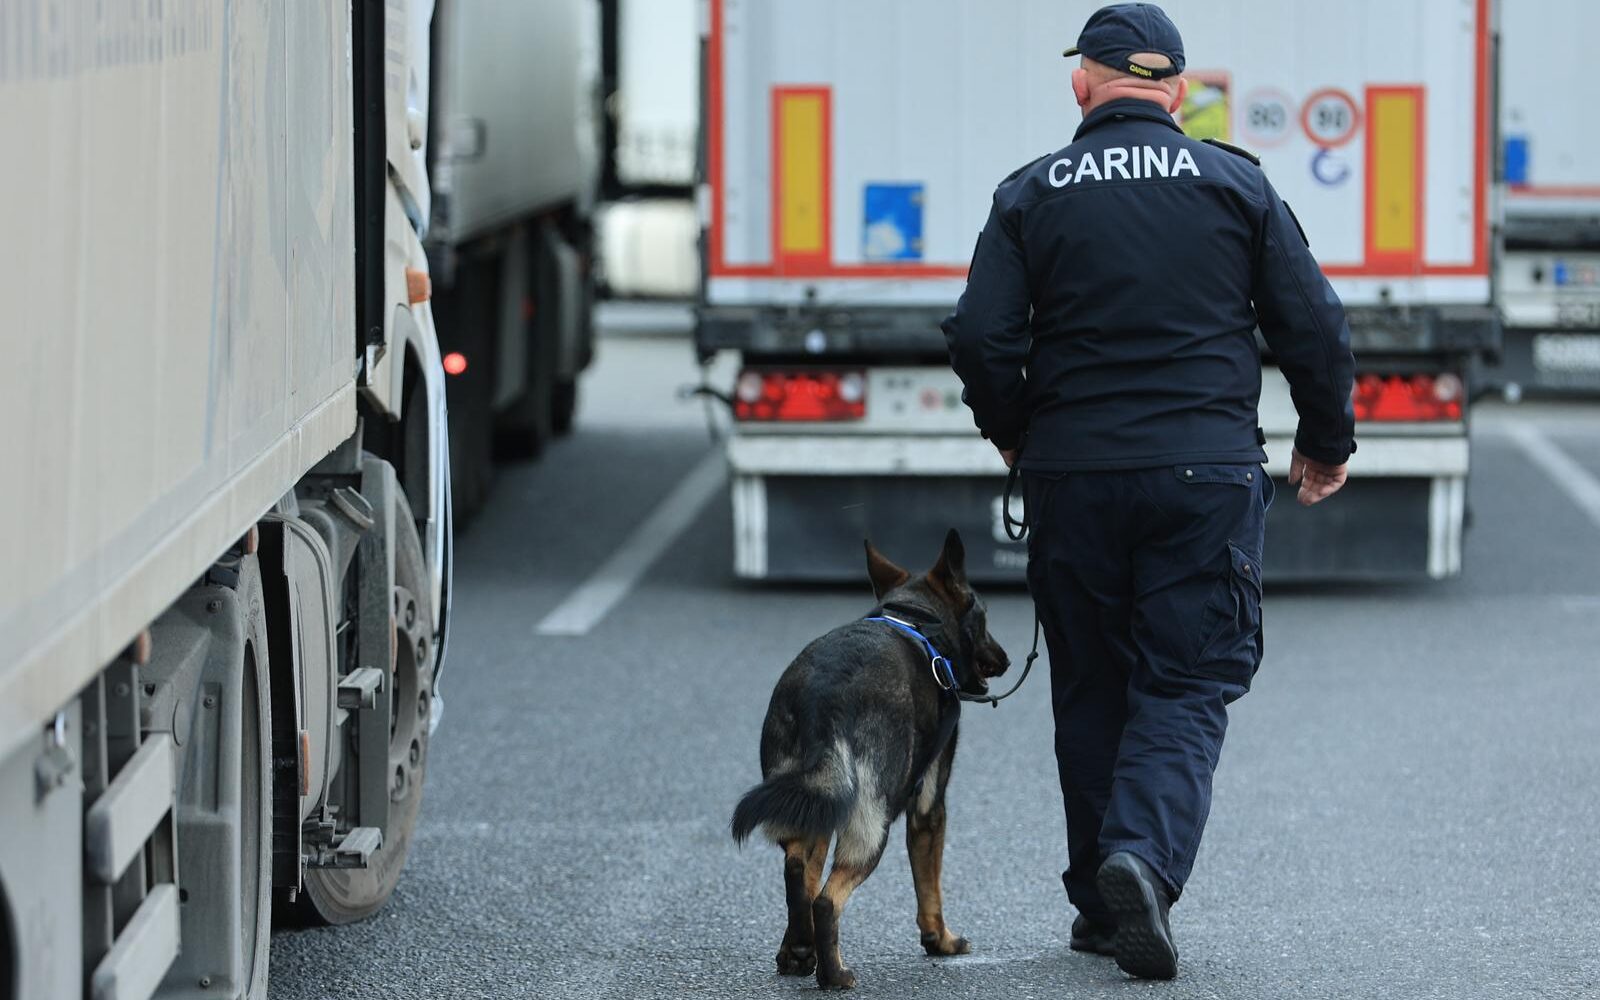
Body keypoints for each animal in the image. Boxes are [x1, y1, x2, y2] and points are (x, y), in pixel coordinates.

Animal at [729, 534, 1004, 985]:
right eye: (983, 617)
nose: (1006, 658)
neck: (914, 619)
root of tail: (822, 699)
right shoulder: (929, 806)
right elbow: (930, 884)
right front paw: (941, 941)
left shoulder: (823, 804)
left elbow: (807, 872)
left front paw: (796, 952)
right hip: (872, 823)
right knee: (827, 899)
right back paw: (835, 975)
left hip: (813, 802)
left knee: (797, 872)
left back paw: (801, 951)